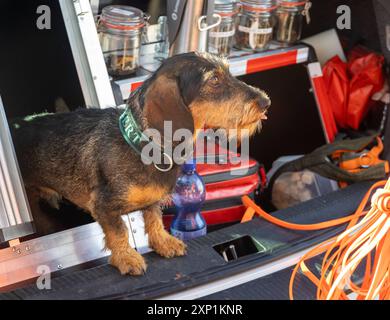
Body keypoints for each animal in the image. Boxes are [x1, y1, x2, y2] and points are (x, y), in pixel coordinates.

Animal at [11, 52, 268, 276]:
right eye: (214, 79)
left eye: (228, 72)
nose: (265, 101)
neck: (142, 144)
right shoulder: (104, 206)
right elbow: (118, 232)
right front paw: (126, 258)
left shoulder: (153, 200)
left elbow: (154, 220)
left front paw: (163, 242)